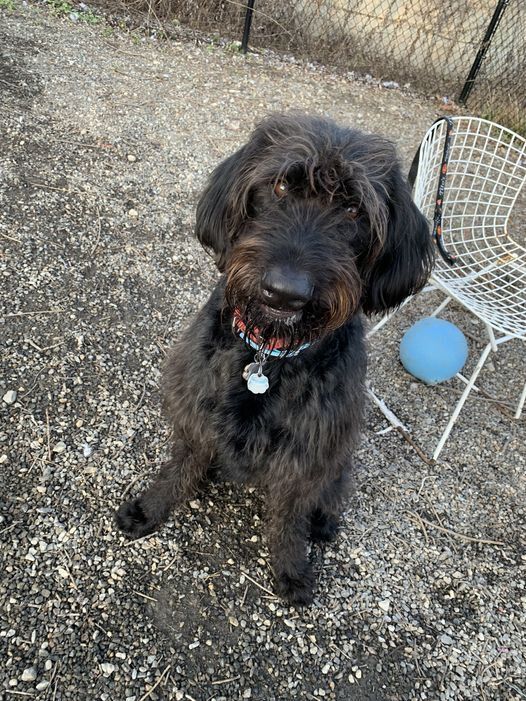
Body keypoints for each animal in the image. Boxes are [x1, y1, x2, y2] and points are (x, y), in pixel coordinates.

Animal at [117, 113, 436, 600]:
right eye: (281, 186)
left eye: (354, 210)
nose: (285, 292)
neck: (270, 353)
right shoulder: (195, 411)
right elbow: (180, 467)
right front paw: (150, 508)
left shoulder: (307, 453)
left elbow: (288, 516)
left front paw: (289, 567)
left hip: (338, 458)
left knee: (331, 490)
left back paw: (322, 522)